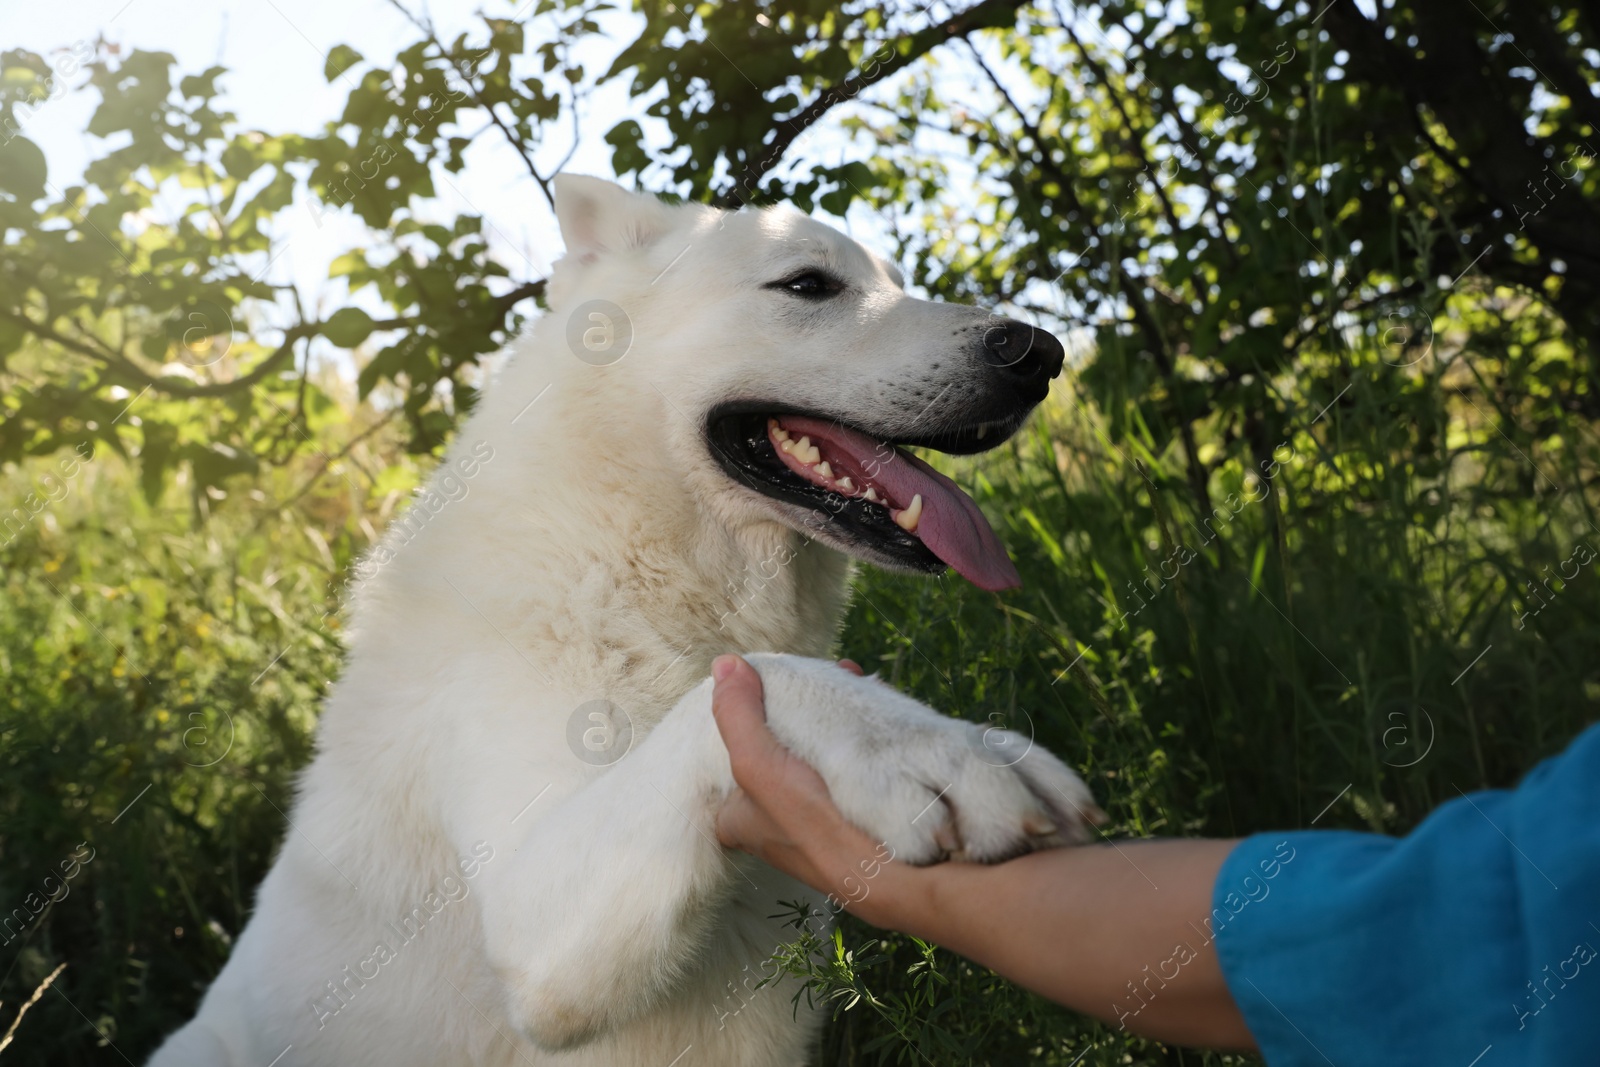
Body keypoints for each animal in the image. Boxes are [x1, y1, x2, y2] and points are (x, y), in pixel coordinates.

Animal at [150, 175, 1094, 1067]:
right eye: (809, 284)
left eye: (897, 283)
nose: (1040, 352)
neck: (627, 569)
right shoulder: (535, 928)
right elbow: (759, 684)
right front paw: (933, 746)